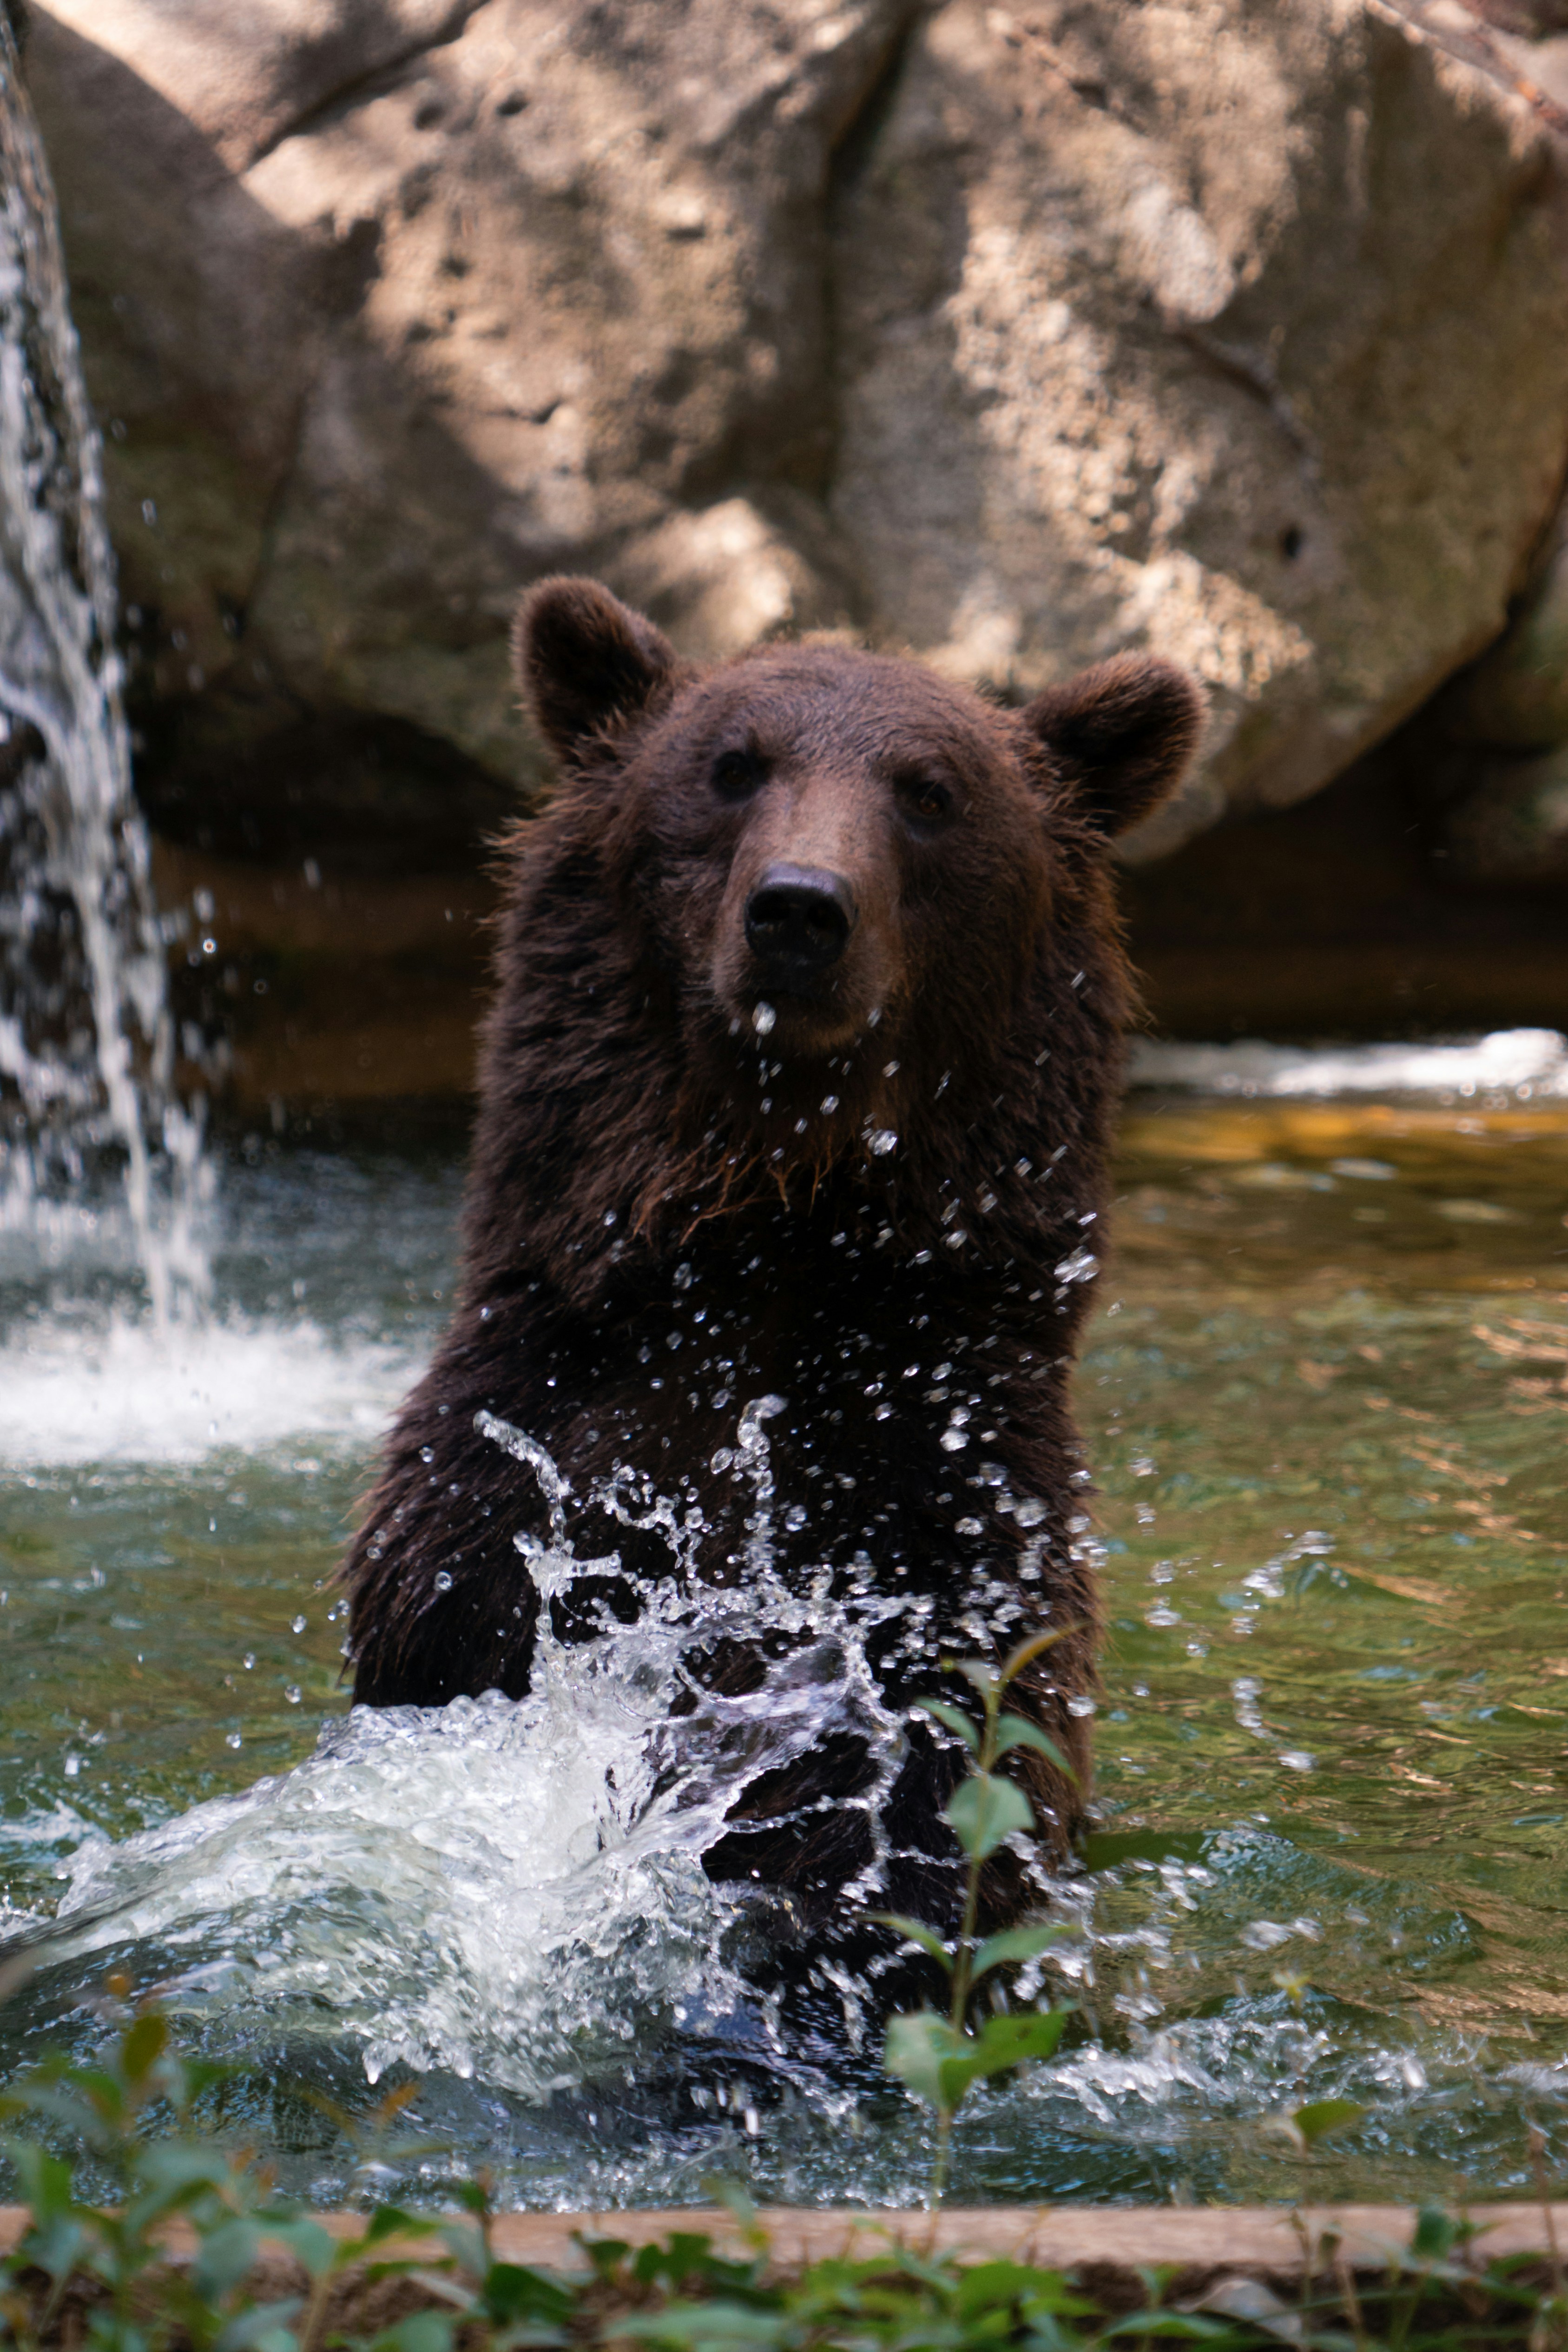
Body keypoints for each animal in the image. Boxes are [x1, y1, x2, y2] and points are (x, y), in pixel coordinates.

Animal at [342, 578, 1201, 1975]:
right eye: (732, 764)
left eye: (929, 790)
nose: (800, 908)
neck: (770, 1218)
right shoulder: (509, 1488)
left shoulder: (943, 1500)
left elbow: (919, 1761)